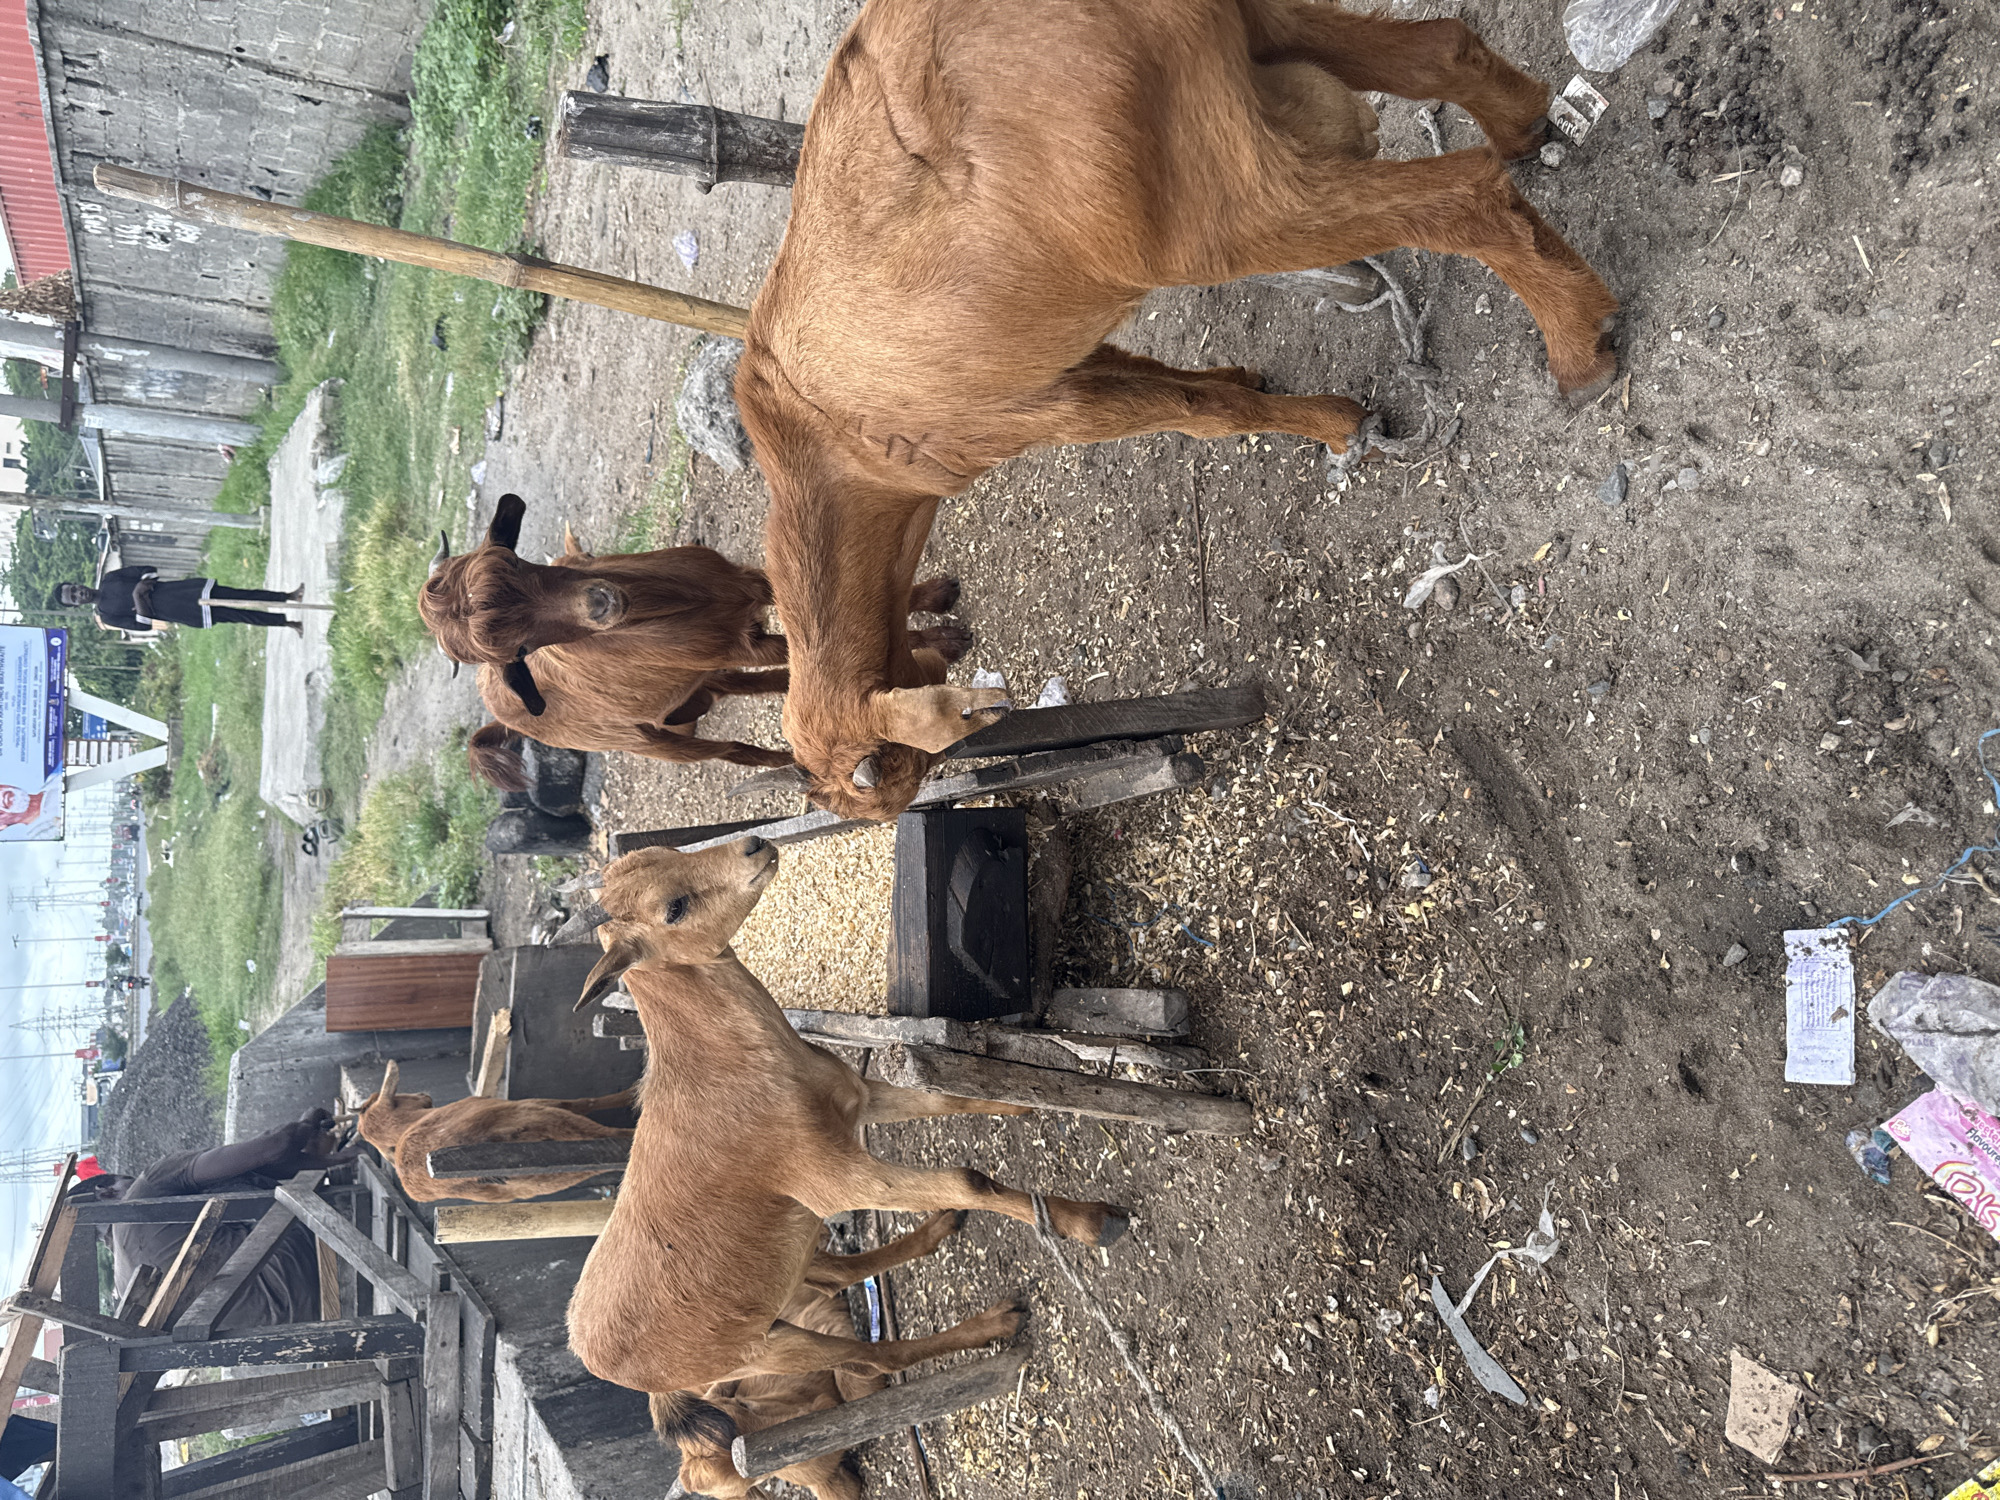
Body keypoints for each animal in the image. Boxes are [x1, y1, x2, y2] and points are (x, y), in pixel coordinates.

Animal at [357, 1062, 635, 1204]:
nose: (423, 1094)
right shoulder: (537, 1103)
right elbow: (584, 1101)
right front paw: (627, 1094)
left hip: (555, 1174)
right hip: (549, 1122)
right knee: (619, 1137)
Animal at [420, 494, 968, 788]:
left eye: (513, 561)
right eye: (521, 651)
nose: (601, 604)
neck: (689, 603)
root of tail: (497, 713)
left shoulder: (749, 587)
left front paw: (938, 597)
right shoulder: (740, 644)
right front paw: (944, 641)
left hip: (696, 681)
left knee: (744, 686)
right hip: (649, 741)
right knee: (731, 749)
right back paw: (785, 764)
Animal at [558, 838, 1126, 1463]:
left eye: (665, 850)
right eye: (673, 907)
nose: (754, 844)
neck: (727, 1068)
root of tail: (607, 1365)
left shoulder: (859, 1102)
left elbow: (943, 1098)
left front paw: (1041, 1104)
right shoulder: (834, 1178)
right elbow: (967, 1177)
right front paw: (1092, 1221)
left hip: (786, 1283)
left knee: (836, 1277)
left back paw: (939, 1229)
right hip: (759, 1350)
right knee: (873, 1358)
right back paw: (997, 1322)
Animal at [738, 0, 1619, 819]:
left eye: (893, 774)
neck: (827, 445)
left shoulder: (1042, 411)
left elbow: (1196, 410)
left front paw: (1340, 423)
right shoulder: (1074, 360)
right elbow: (1186, 380)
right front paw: (1255, 377)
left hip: (1220, 212)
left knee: (1464, 191)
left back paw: (1579, 348)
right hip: (1252, 43)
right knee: (1442, 47)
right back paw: (1525, 127)